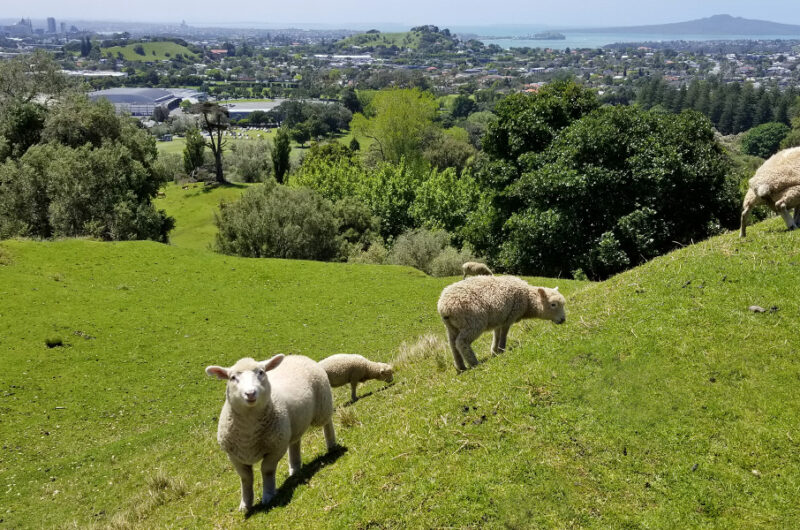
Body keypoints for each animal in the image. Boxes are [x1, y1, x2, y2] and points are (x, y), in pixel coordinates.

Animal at [205, 352, 336, 510]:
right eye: (233, 378)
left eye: (261, 372)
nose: (250, 393)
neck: (248, 433)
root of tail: (298, 356)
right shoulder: (234, 456)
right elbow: (245, 478)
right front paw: (245, 504)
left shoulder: (276, 448)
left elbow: (267, 470)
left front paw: (268, 495)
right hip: (292, 426)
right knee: (295, 441)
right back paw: (294, 468)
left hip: (323, 405)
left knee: (327, 422)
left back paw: (331, 445)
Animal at [438, 274, 568, 370]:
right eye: (553, 304)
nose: (563, 320)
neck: (527, 300)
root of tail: (444, 307)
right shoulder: (510, 316)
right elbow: (504, 334)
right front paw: (501, 349)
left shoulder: (499, 318)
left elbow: (497, 334)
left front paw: (494, 351)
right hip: (473, 322)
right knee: (461, 342)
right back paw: (474, 363)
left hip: (452, 327)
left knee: (453, 344)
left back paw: (461, 367)